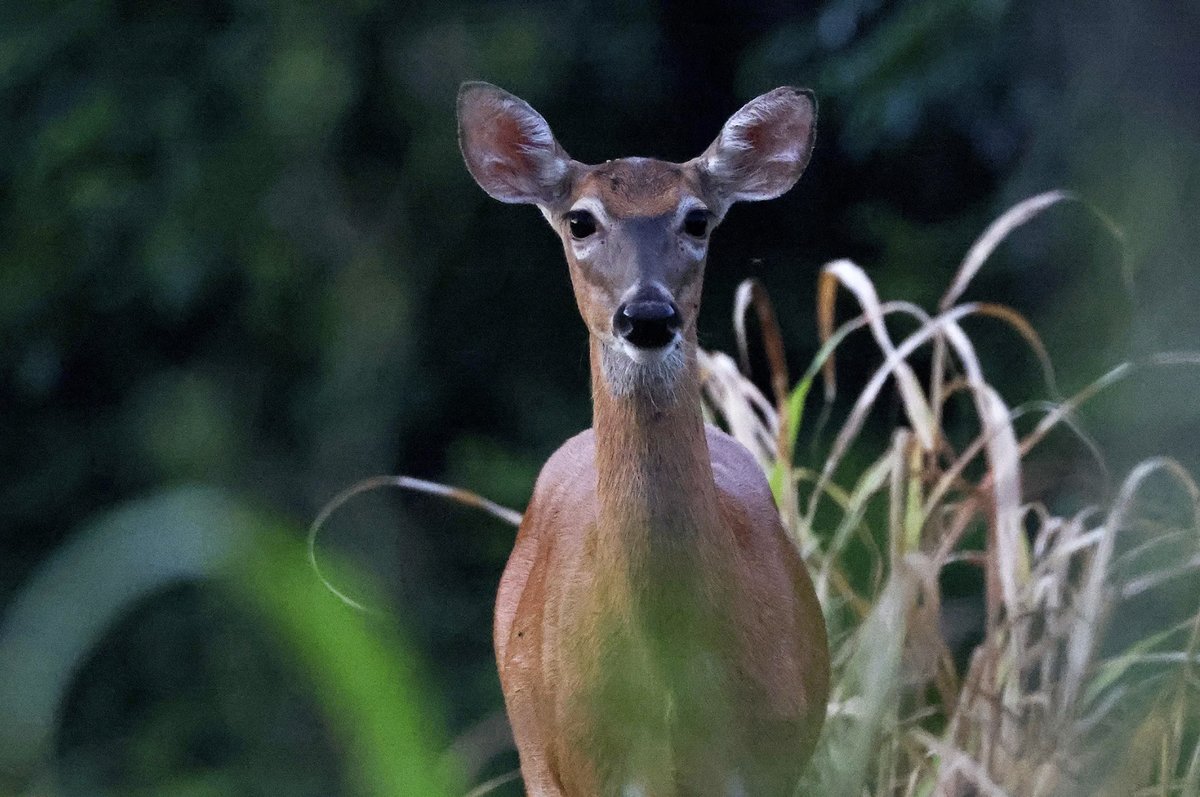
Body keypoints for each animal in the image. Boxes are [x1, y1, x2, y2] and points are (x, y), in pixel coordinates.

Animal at [457, 82, 830, 796]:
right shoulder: (596, 772)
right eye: (580, 220)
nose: (648, 314)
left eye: (697, 219)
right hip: (537, 757)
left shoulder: (767, 765)